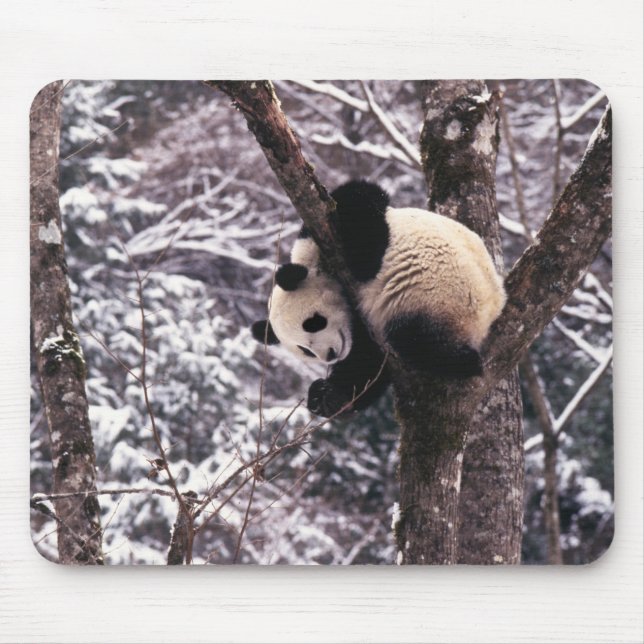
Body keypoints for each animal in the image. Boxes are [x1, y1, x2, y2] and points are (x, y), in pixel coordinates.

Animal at [251, 180, 506, 417]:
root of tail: (492, 310)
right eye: (305, 350)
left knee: (414, 339)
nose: (330, 355)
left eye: (313, 323)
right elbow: (367, 363)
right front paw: (325, 397)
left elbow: (360, 203)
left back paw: (463, 360)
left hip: (439, 297)